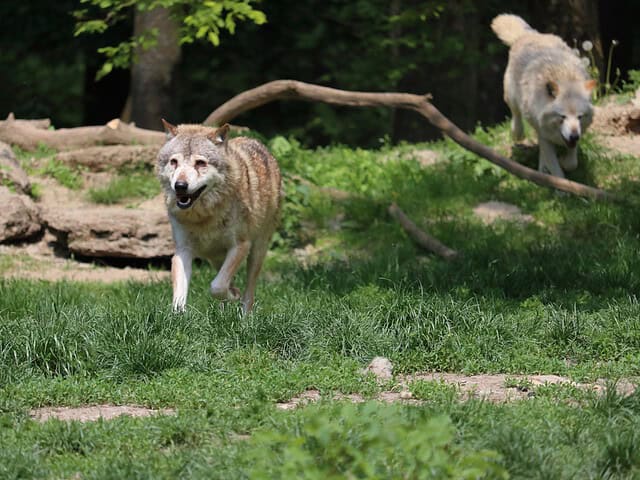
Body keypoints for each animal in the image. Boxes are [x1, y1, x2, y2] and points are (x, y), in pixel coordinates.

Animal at [156, 120, 282, 314]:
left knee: (249, 292)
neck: (204, 217)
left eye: (200, 163)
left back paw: (245, 315)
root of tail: (255, 141)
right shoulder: (183, 250)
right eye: (174, 162)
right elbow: (179, 299)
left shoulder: (240, 246)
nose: (180, 186)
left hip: (256, 252)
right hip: (215, 258)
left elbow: (217, 286)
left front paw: (233, 295)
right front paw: (177, 317)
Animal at [492, 14, 596, 177]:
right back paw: (517, 133)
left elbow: (572, 163)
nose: (574, 136)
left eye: (580, 117)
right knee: (516, 115)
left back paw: (542, 170)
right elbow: (556, 170)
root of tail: (528, 34)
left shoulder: (573, 138)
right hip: (512, 98)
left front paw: (563, 162)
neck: (565, 78)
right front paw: (559, 182)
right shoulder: (545, 136)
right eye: (562, 116)